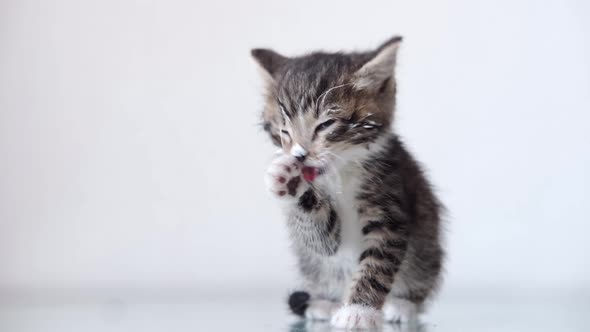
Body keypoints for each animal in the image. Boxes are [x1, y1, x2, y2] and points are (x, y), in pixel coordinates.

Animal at [252, 37, 446, 330]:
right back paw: (324, 304)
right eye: (283, 130)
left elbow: (377, 261)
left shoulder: (390, 200)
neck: (340, 172)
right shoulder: (326, 240)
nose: (299, 155)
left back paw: (402, 305)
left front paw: (358, 311)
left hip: (427, 249)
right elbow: (323, 240)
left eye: (326, 125)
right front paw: (289, 179)